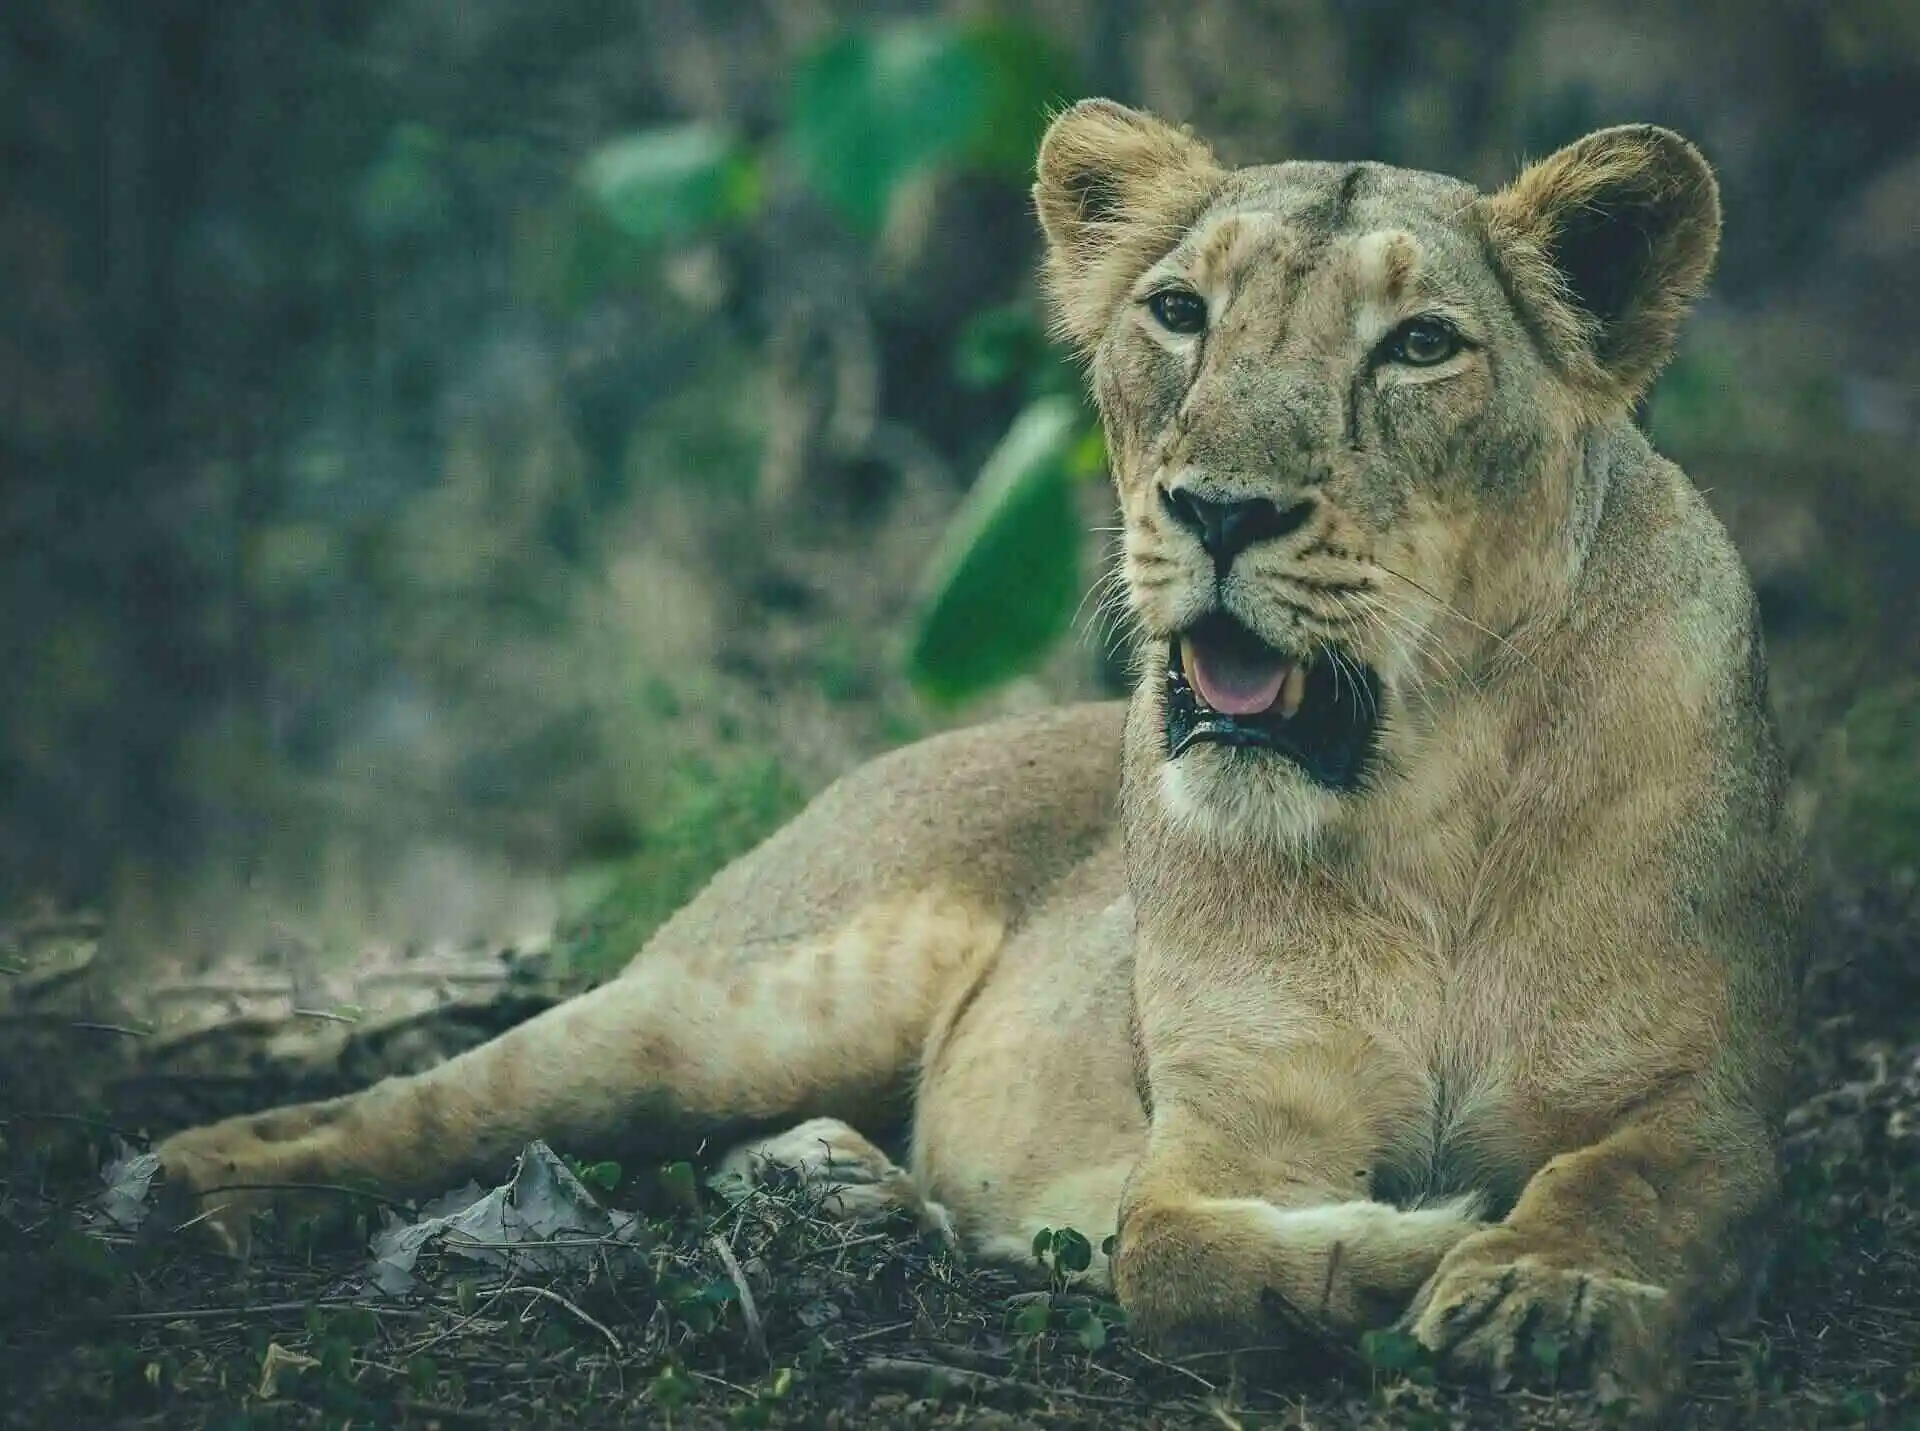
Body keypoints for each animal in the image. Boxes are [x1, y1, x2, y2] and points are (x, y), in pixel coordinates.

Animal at [156, 100, 1801, 1405]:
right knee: (415, 1106)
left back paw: (842, 1190)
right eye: (1180, 313)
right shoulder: (1222, 1130)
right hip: (733, 1007)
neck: (1426, 809)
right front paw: (1430, 1247)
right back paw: (188, 1187)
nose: (1218, 510)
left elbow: (1630, 1181)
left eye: (1421, 346)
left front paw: (1540, 1289)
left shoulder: (1709, 1099)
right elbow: (1172, 1258)